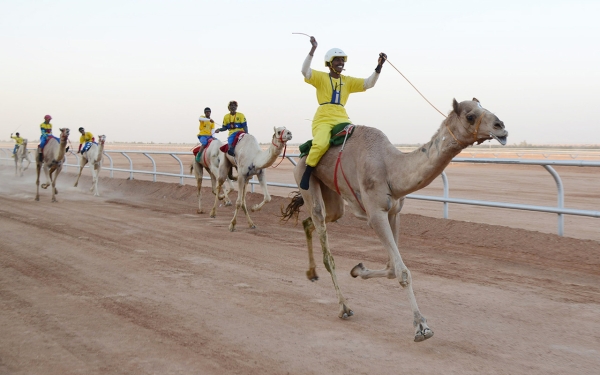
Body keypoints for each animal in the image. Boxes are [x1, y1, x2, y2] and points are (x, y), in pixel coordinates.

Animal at [282, 98, 506, 342]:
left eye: (484, 107)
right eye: (470, 116)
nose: (501, 127)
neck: (390, 168)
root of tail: (302, 154)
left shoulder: (394, 212)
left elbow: (391, 269)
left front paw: (358, 269)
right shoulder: (375, 214)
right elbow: (402, 271)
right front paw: (421, 327)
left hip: (333, 198)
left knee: (314, 220)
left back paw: (312, 273)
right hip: (305, 179)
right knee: (325, 244)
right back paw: (344, 307)